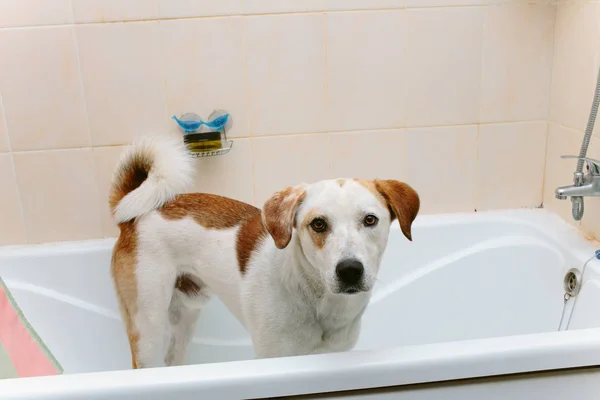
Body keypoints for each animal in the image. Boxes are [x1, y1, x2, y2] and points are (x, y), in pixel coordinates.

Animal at [110, 135, 420, 368]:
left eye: (370, 220)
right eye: (318, 224)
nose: (350, 270)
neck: (317, 301)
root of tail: (134, 216)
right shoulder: (272, 357)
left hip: (186, 313)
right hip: (148, 327)